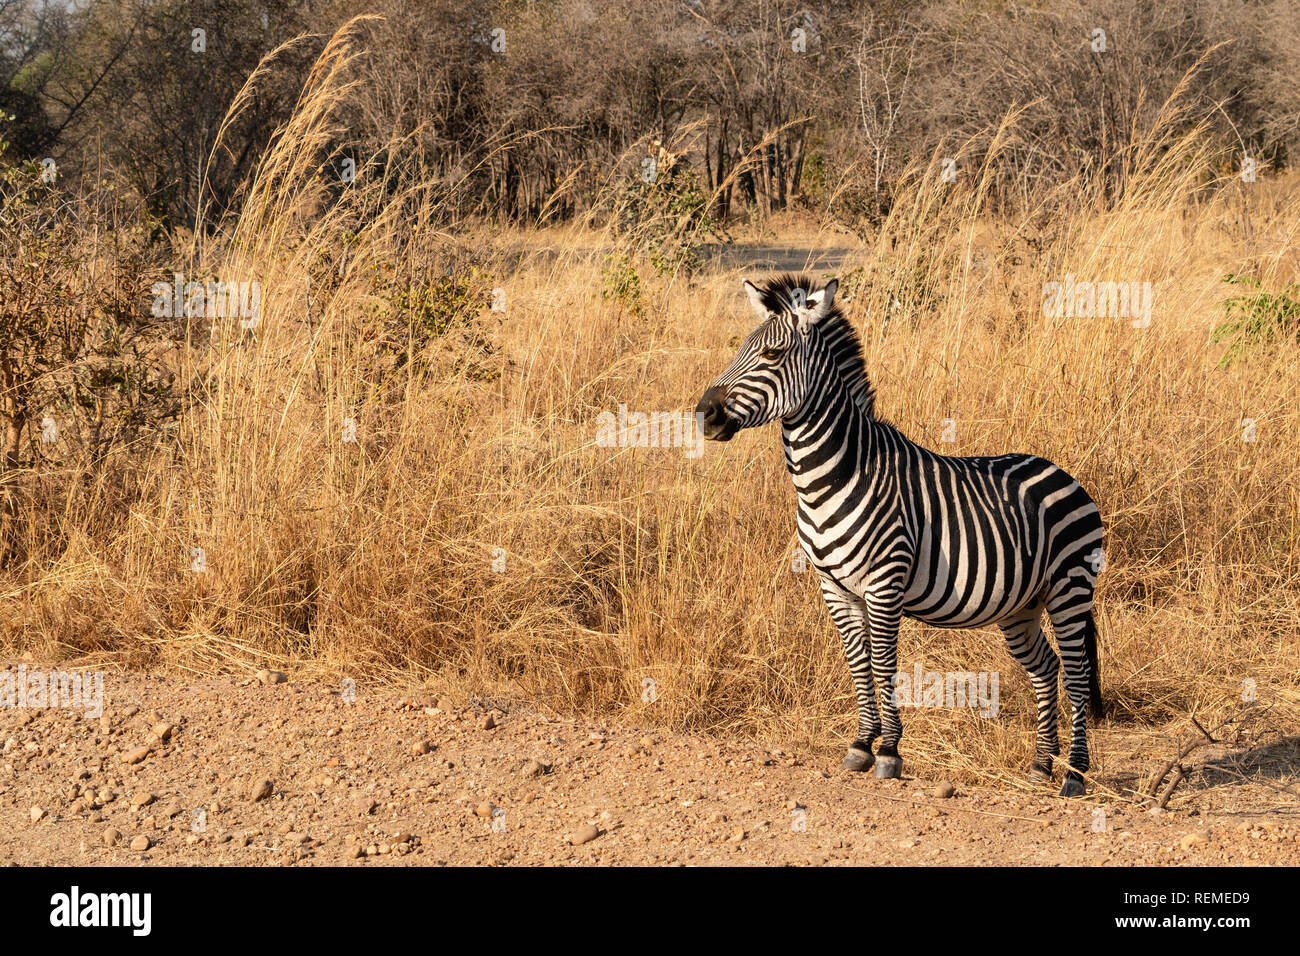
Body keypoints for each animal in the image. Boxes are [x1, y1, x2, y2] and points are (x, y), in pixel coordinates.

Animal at [696, 277, 1102, 801]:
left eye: (772, 353)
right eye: (740, 348)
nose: (704, 414)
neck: (835, 476)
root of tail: (1062, 473)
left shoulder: (884, 583)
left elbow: (885, 663)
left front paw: (889, 753)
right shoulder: (834, 588)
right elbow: (859, 664)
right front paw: (861, 745)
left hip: (1070, 589)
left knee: (1077, 673)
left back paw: (1075, 774)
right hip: (1021, 605)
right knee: (1046, 668)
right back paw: (1041, 764)